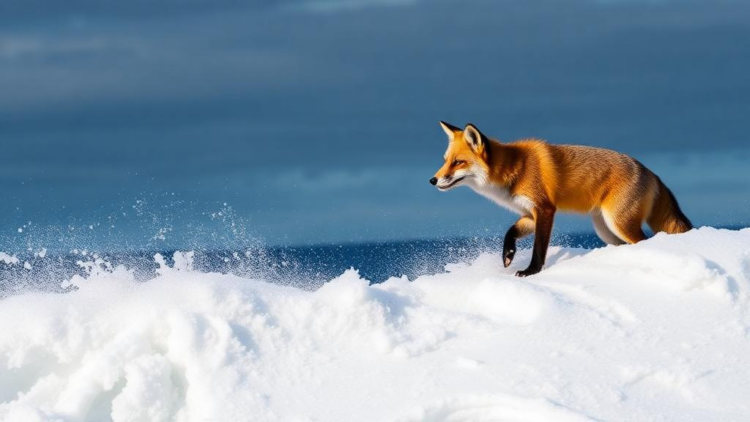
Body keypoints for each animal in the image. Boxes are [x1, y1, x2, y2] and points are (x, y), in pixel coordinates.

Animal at [430, 121, 692, 277]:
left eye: (458, 162)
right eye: (445, 160)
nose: (433, 180)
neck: (516, 171)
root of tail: (650, 171)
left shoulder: (545, 209)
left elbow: (539, 248)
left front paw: (530, 272)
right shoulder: (529, 213)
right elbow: (510, 232)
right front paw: (508, 255)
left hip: (619, 223)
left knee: (646, 240)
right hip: (605, 229)